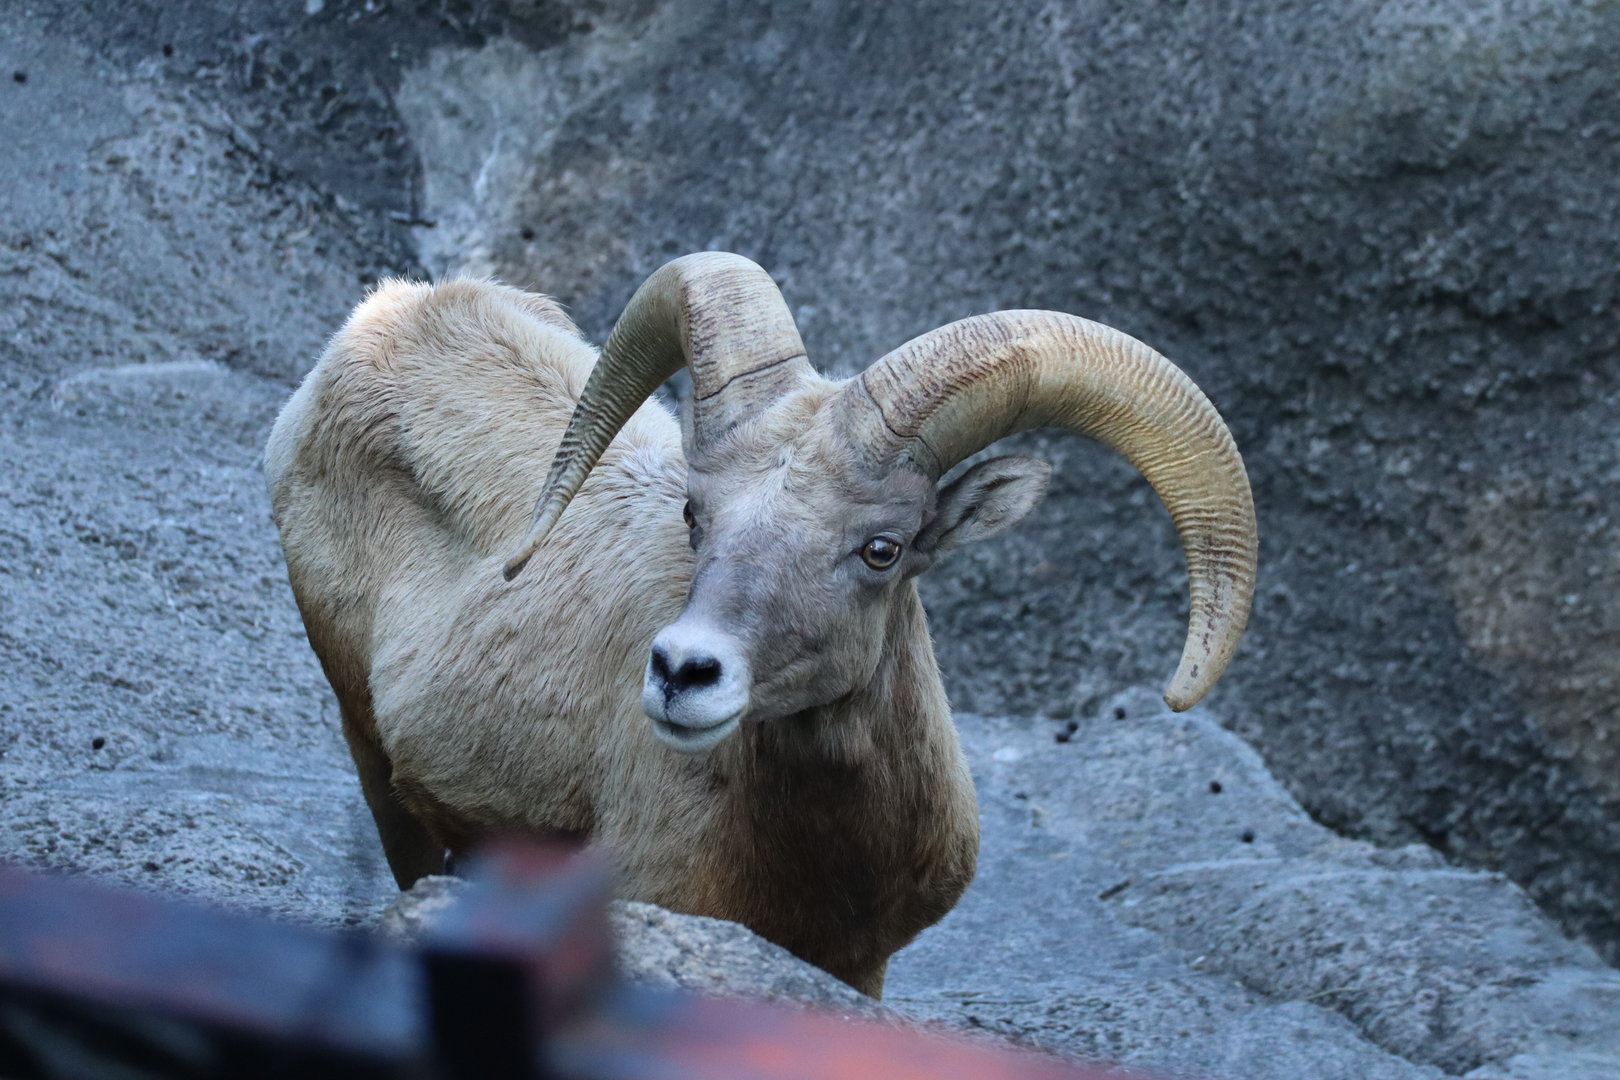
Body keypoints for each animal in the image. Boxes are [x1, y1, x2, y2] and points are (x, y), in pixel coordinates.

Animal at [264, 252, 1257, 996]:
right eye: (695, 513)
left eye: (883, 548)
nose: (682, 673)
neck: (815, 862)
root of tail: (387, 315)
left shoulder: (858, 969)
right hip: (377, 765)